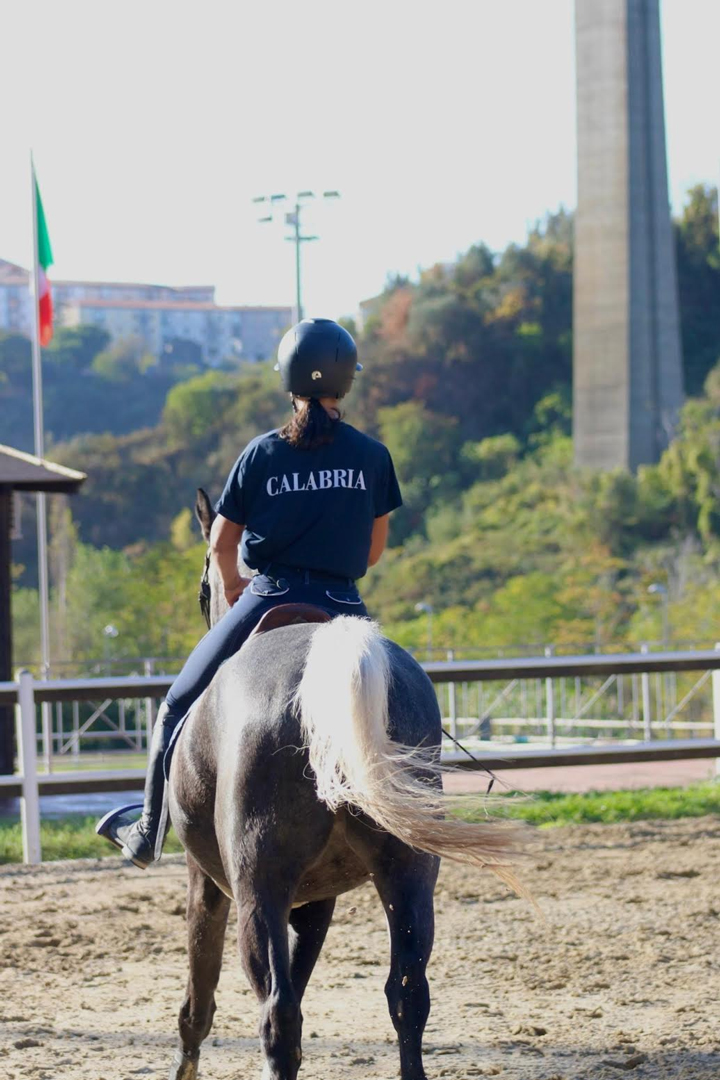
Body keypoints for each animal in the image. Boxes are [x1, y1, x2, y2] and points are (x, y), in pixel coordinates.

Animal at [166, 492, 520, 1080]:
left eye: (201, 590)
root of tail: (331, 658)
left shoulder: (207, 881)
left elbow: (200, 997)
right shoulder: (319, 897)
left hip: (259, 883)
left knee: (277, 1013)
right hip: (408, 871)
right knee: (407, 994)